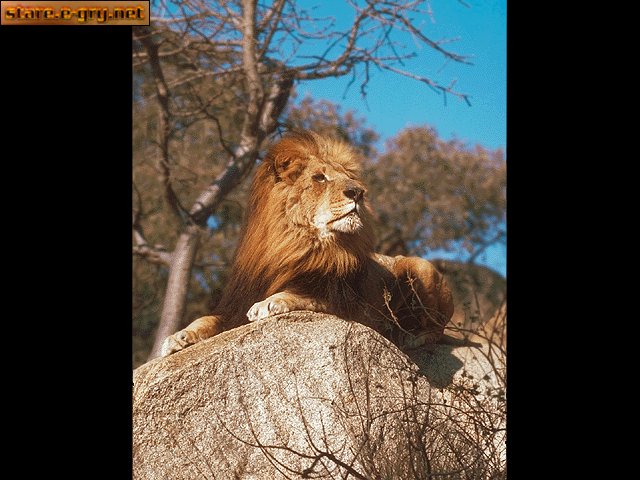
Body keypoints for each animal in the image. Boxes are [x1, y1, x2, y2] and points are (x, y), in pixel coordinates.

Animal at [161, 130, 454, 357]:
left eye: (350, 179)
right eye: (320, 178)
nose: (358, 192)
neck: (295, 243)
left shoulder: (348, 306)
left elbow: (302, 295)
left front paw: (269, 303)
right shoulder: (234, 307)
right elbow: (206, 319)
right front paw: (178, 337)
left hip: (420, 268)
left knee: (437, 330)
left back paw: (410, 336)